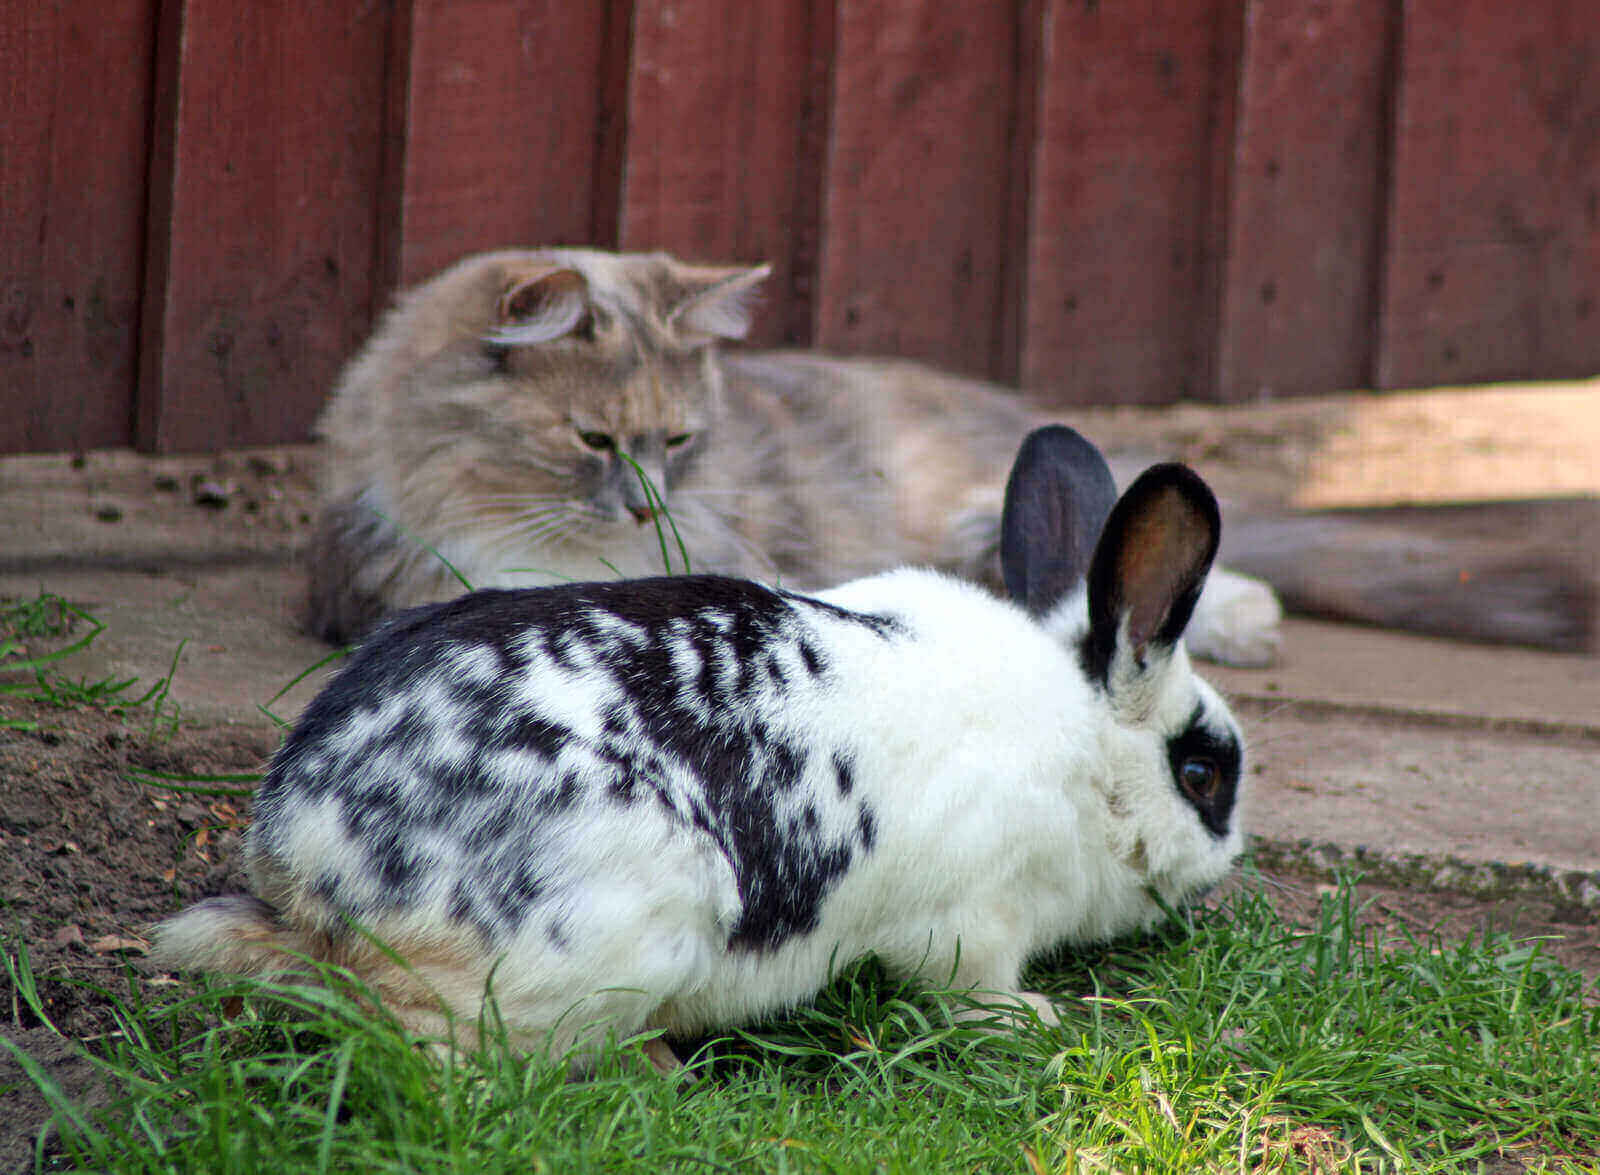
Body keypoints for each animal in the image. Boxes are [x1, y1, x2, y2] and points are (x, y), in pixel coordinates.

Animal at [151, 425, 1246, 1071]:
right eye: (1203, 773)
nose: (1227, 862)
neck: (1083, 747)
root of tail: (309, 858)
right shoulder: (973, 917)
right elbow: (970, 984)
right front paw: (1037, 1021)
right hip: (616, 938)